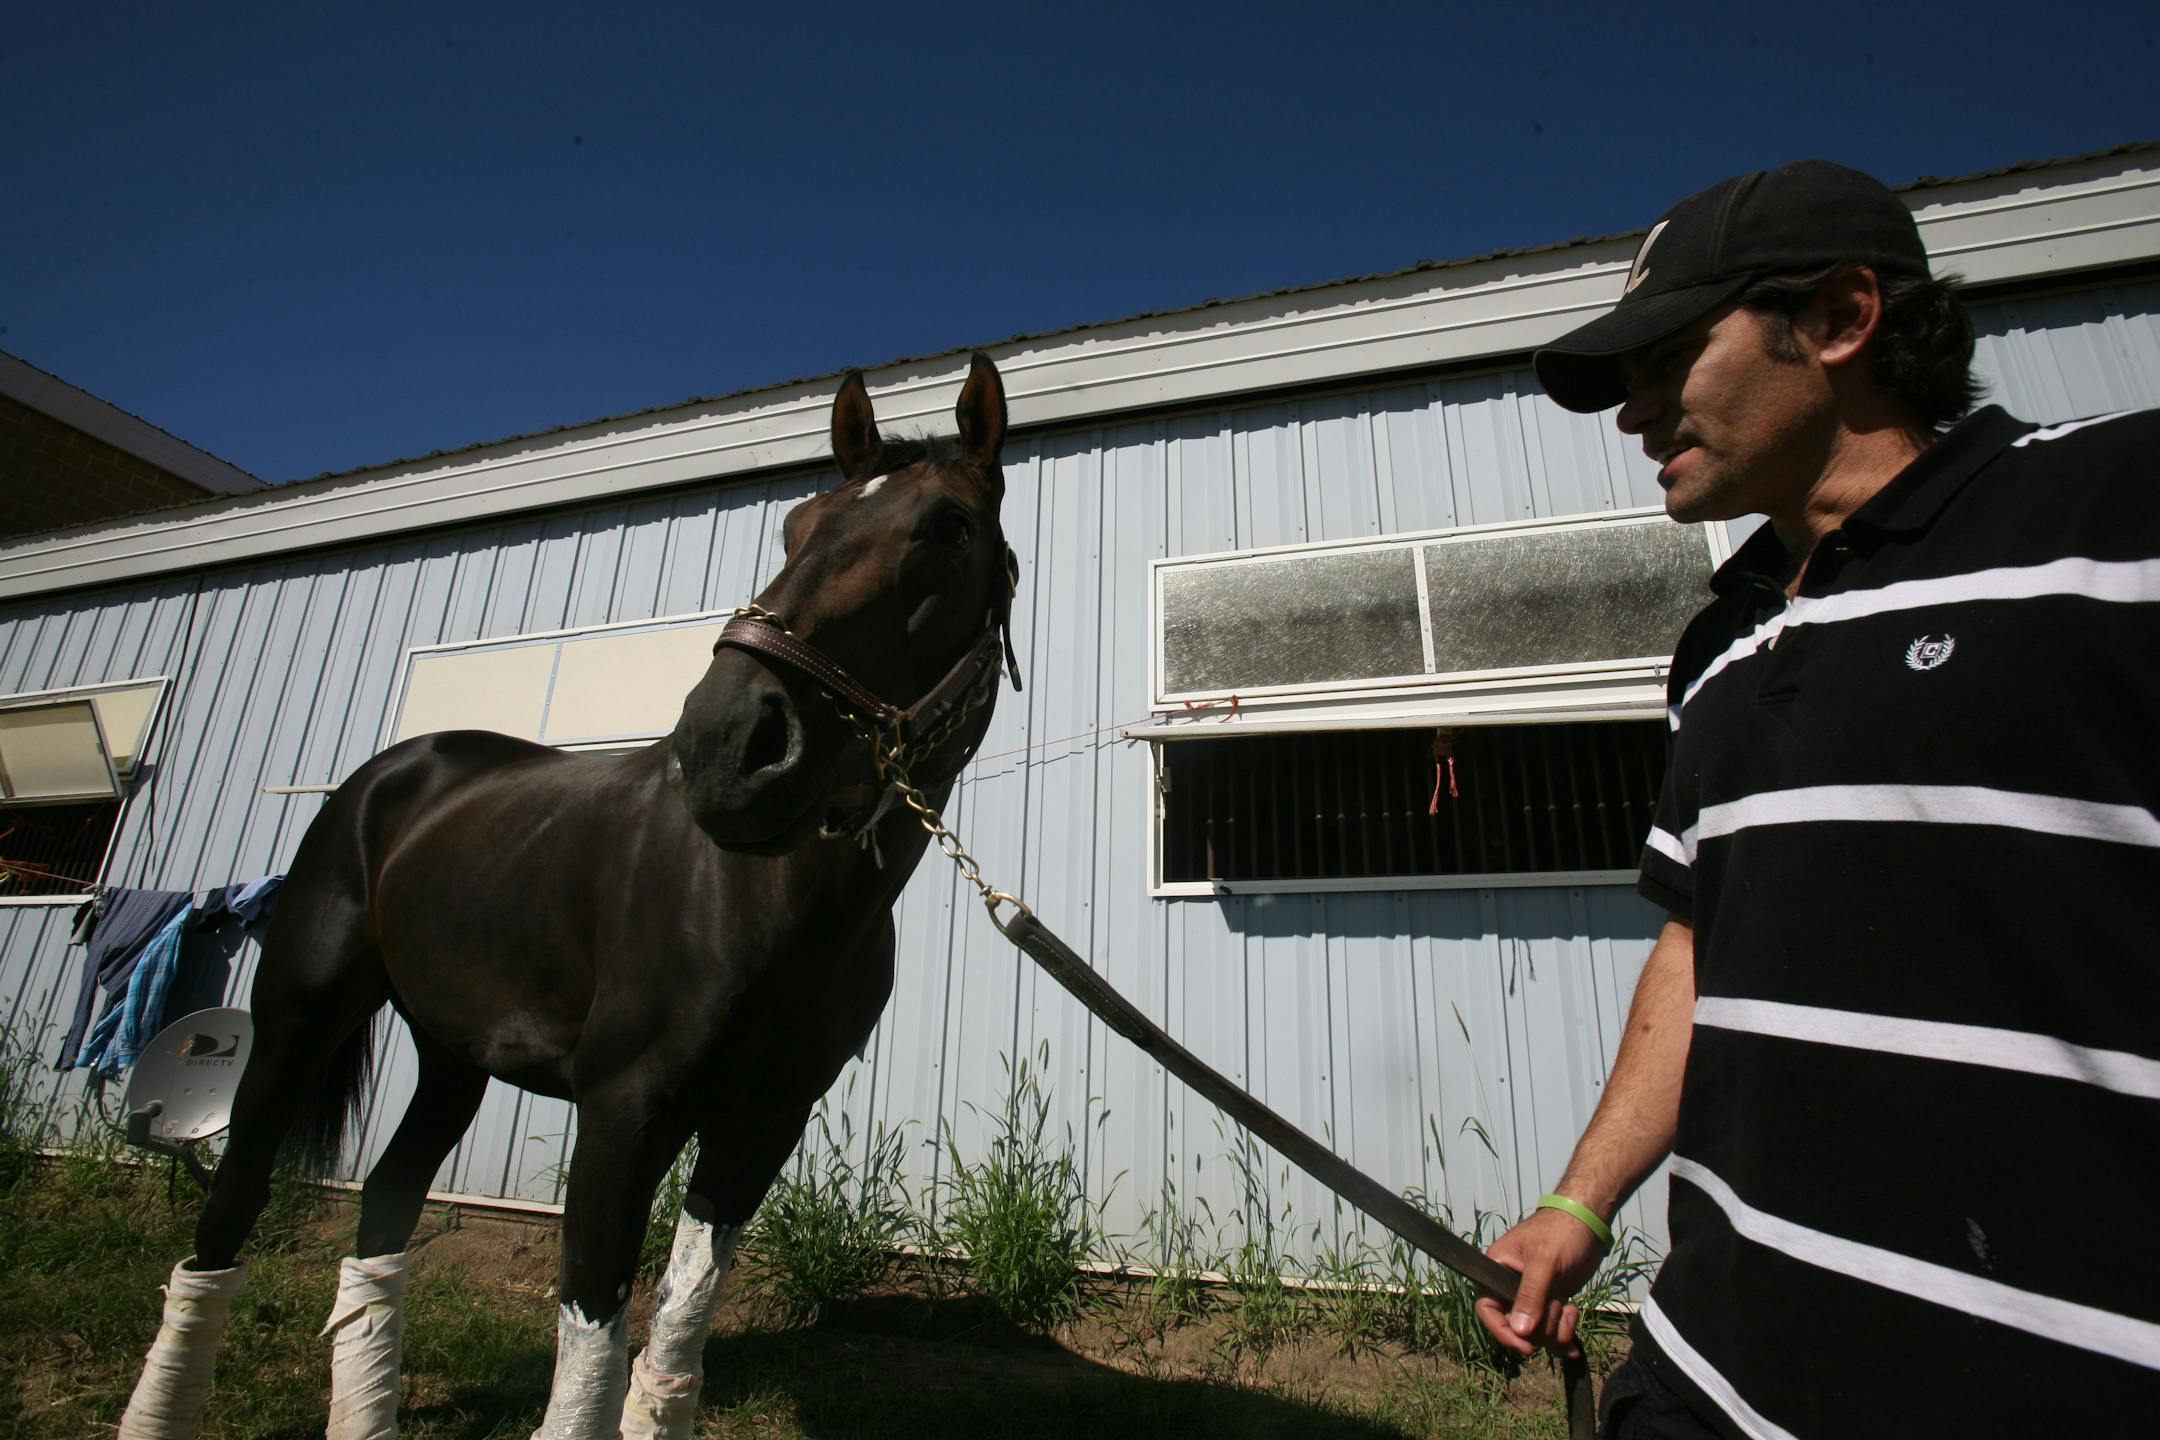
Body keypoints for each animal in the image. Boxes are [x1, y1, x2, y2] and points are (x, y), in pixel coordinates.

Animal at [117, 354, 1021, 1440]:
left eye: (950, 530)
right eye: (797, 524)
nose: (727, 745)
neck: (764, 907)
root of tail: (388, 777)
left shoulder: (760, 1125)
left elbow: (672, 1341)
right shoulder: (621, 1111)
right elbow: (590, 1356)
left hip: (451, 1055)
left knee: (383, 1208)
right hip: (298, 1023)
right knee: (229, 1212)